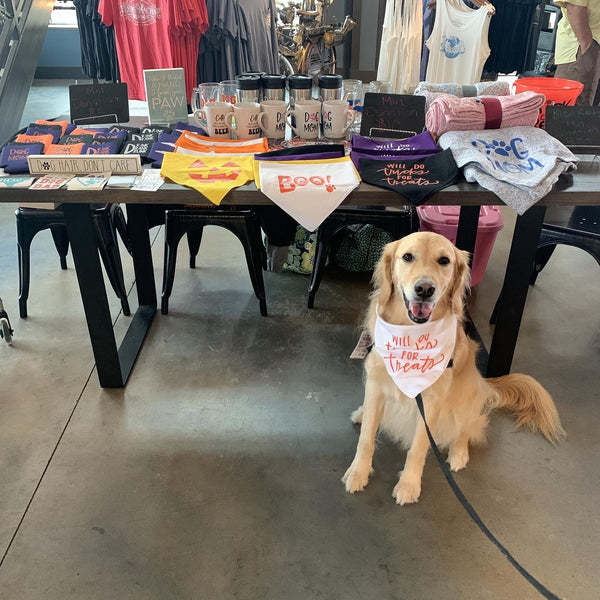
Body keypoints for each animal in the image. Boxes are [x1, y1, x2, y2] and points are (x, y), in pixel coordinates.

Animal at [342, 232, 564, 504]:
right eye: (407, 257)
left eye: (444, 260)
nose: (425, 289)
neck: (413, 336)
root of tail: (485, 384)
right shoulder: (376, 384)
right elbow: (366, 439)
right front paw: (358, 472)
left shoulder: (431, 402)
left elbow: (418, 448)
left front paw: (409, 484)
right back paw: (362, 413)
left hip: (468, 397)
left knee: (468, 426)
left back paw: (459, 453)